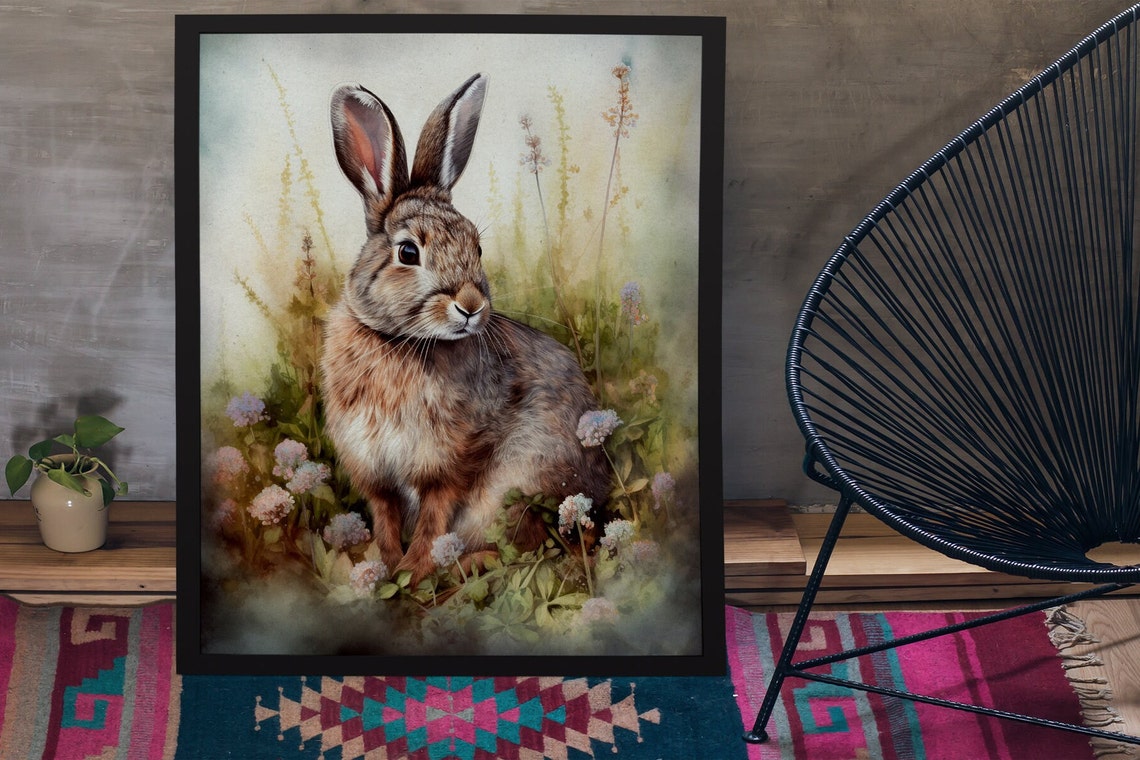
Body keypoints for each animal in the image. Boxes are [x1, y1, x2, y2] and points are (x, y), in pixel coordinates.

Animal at [321, 73, 611, 585]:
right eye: (408, 252)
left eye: (476, 246)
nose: (471, 306)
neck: (399, 342)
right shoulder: (375, 472)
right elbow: (385, 516)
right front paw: (386, 567)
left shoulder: (448, 463)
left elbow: (433, 518)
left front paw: (414, 571)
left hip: (515, 486)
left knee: (528, 551)